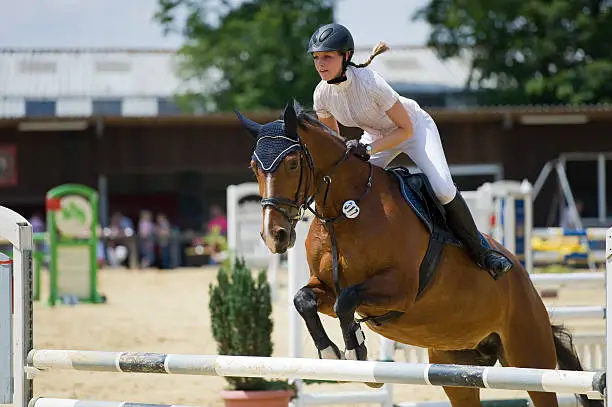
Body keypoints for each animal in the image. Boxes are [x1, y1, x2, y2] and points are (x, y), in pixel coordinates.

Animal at [235, 101, 604, 407]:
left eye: (292, 163)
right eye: (253, 166)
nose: (274, 235)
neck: (346, 211)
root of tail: (527, 284)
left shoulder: (400, 290)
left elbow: (346, 302)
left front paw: (356, 353)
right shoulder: (326, 286)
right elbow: (304, 299)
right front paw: (330, 353)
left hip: (529, 357)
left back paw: (494, 261)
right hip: (458, 372)